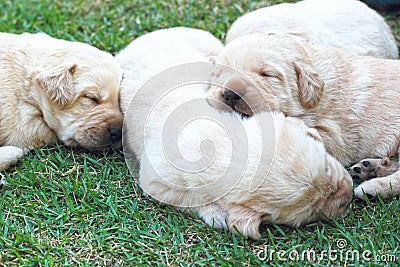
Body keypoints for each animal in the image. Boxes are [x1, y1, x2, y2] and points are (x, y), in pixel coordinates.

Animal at [116, 28, 354, 240]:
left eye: (328, 166)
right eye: (312, 211)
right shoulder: (156, 183)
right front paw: (216, 214)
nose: (350, 194)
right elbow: (190, 198)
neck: (219, 145)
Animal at [208, 33, 400, 200]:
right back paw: (371, 167)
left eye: (267, 74)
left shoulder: (335, 135)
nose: (230, 94)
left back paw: (372, 187)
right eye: (217, 75)